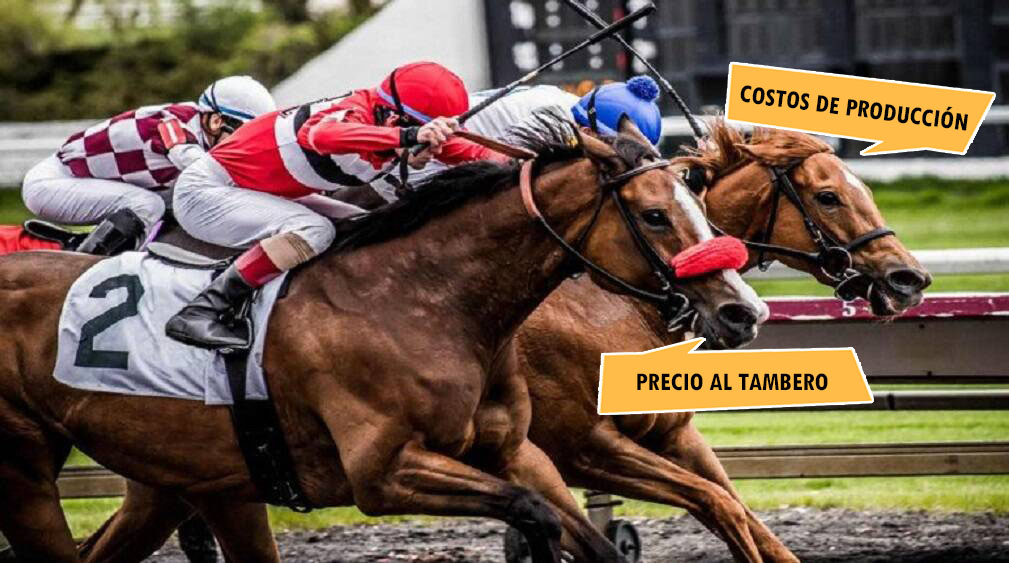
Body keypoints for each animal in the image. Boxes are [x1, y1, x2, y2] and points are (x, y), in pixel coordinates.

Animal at [62, 120, 929, 563]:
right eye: (826, 194)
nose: (908, 277)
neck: (597, 300)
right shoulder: (583, 447)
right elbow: (714, 505)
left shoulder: (669, 434)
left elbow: (738, 512)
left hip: (180, 472)